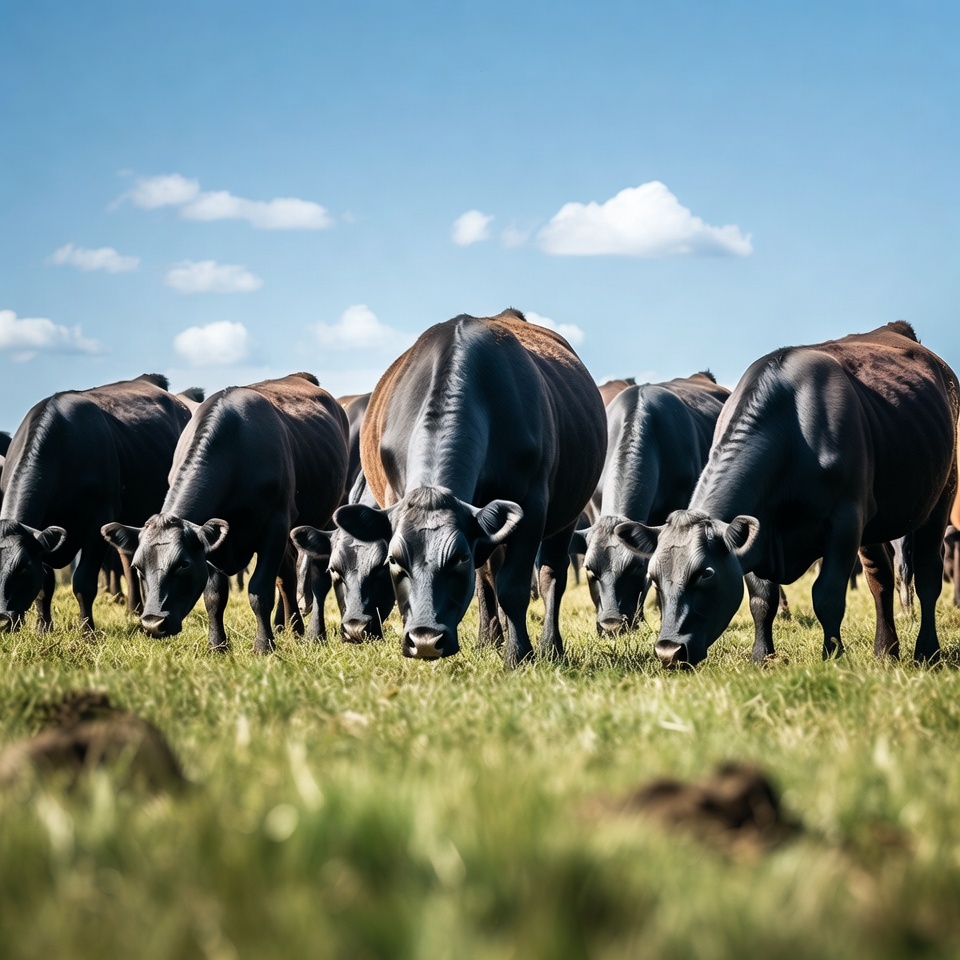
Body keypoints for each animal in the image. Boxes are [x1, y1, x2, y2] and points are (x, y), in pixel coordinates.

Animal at [0, 374, 192, 632]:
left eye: (23, 568)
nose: (1, 620)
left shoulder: (98, 519)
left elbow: (83, 582)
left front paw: (87, 631)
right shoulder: (44, 534)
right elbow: (46, 583)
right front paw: (43, 628)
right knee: (128, 556)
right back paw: (134, 609)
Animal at [101, 373, 349, 654]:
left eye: (183, 564)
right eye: (138, 566)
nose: (153, 623)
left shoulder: (274, 526)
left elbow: (259, 591)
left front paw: (263, 646)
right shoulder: (214, 539)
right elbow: (214, 595)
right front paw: (217, 645)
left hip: (324, 517)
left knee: (317, 579)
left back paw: (315, 635)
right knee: (287, 577)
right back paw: (292, 628)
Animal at [334, 309, 607, 666]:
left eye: (460, 558)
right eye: (392, 560)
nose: (425, 640)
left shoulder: (532, 507)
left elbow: (514, 588)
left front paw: (519, 656)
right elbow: (490, 583)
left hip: (565, 516)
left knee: (551, 576)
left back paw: (549, 646)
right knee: (489, 577)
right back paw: (490, 638)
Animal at [615, 322, 958, 668]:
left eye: (705, 574)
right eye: (654, 577)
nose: (668, 651)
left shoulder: (845, 520)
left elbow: (827, 595)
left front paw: (832, 656)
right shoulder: (760, 531)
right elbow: (761, 599)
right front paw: (761, 657)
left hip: (942, 494)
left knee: (928, 575)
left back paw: (927, 651)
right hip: (875, 523)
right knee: (880, 579)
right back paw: (885, 650)